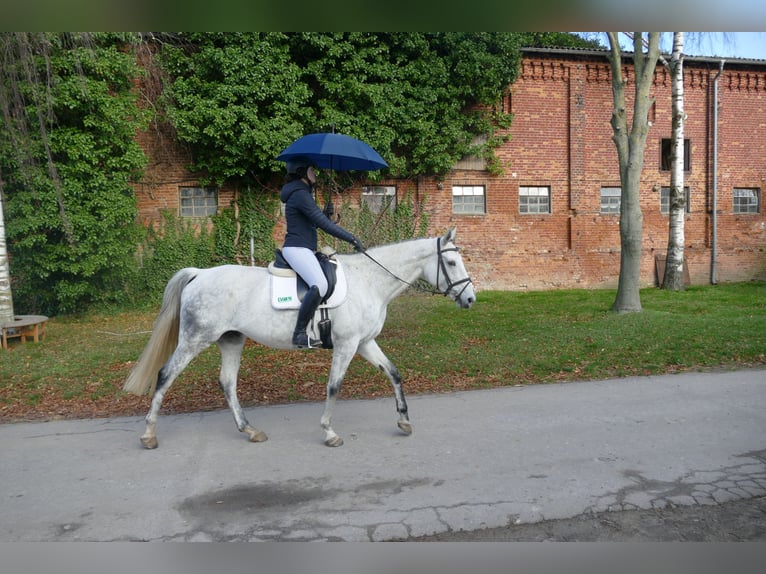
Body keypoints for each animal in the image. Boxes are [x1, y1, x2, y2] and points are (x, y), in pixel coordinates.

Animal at [124, 230, 474, 450]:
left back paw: (249, 430)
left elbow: (394, 373)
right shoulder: (347, 345)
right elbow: (334, 386)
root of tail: (199, 273)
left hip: (231, 340)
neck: (369, 281)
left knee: (227, 382)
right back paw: (149, 434)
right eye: (452, 263)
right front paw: (329, 432)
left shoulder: (364, 343)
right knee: (165, 375)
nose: (470, 298)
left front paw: (404, 421)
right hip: (195, 339)